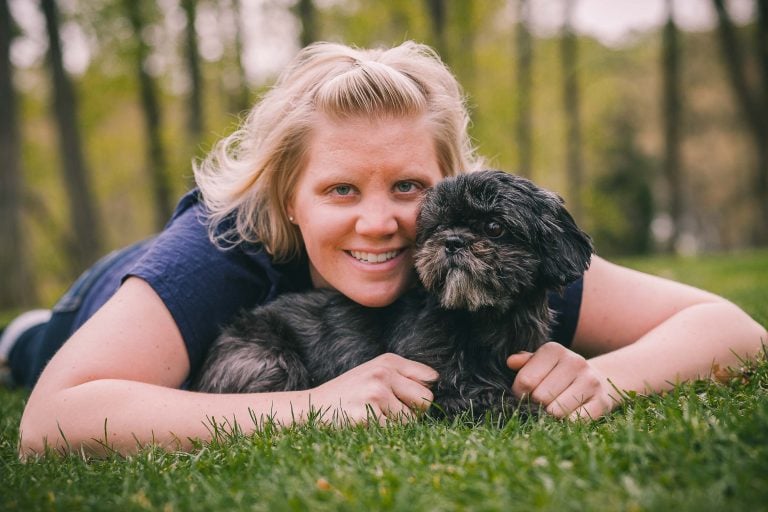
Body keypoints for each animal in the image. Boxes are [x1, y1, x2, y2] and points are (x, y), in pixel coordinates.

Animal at [192, 170, 592, 418]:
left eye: (494, 227)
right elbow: (480, 397)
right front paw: (529, 411)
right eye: (438, 226)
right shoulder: (431, 383)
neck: (481, 318)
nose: (452, 240)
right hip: (270, 361)